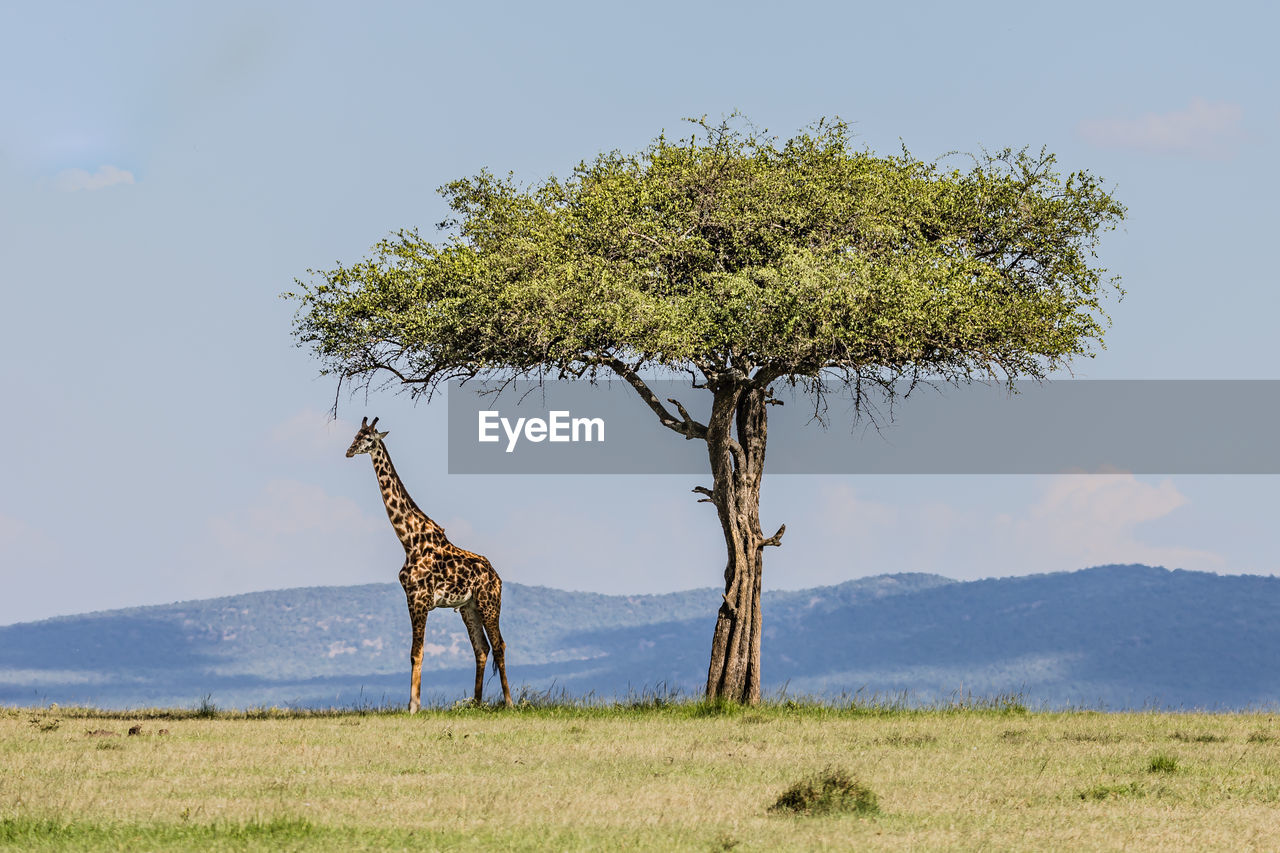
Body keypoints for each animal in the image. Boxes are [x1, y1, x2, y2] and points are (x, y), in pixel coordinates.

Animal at [350, 414, 514, 706]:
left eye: (368, 438)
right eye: (354, 435)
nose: (348, 451)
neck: (409, 540)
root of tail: (497, 576)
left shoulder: (419, 599)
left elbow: (417, 652)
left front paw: (413, 705)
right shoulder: (412, 598)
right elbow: (416, 652)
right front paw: (414, 703)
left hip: (489, 602)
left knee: (499, 645)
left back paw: (509, 701)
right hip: (469, 607)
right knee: (481, 648)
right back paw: (476, 702)